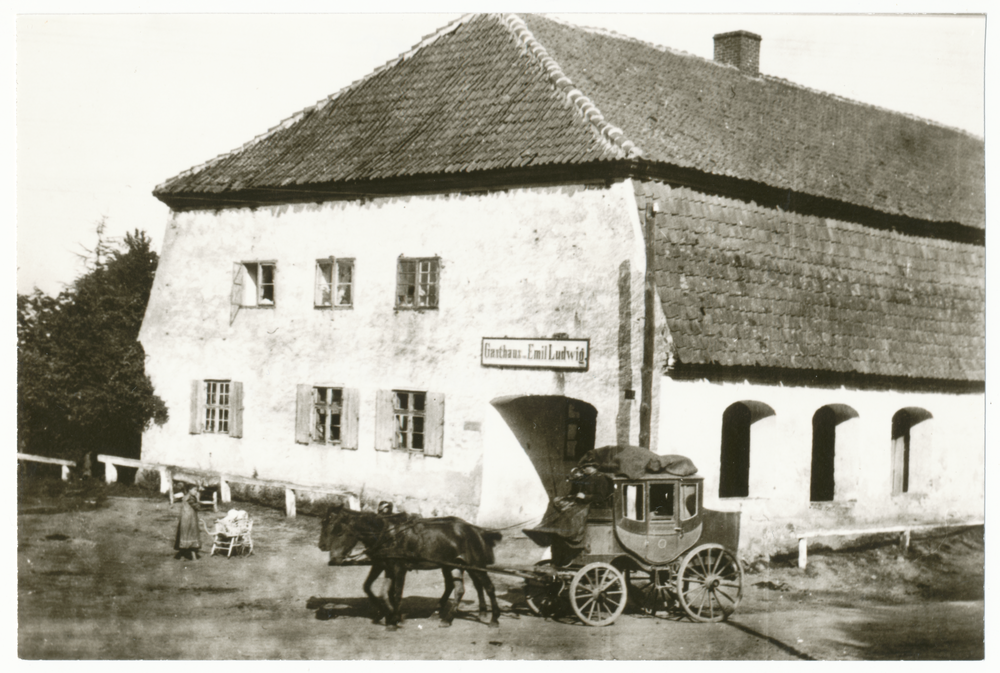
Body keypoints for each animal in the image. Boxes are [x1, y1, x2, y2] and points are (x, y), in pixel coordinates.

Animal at [320, 506, 504, 628]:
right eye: (324, 526)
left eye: (339, 532)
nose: (333, 559)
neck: (387, 534)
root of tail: (475, 529)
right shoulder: (386, 565)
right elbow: (378, 591)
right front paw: (387, 614)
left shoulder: (399, 568)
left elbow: (396, 593)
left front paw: (394, 618)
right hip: (453, 565)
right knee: (458, 589)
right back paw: (446, 618)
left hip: (475, 564)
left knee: (488, 587)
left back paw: (493, 619)